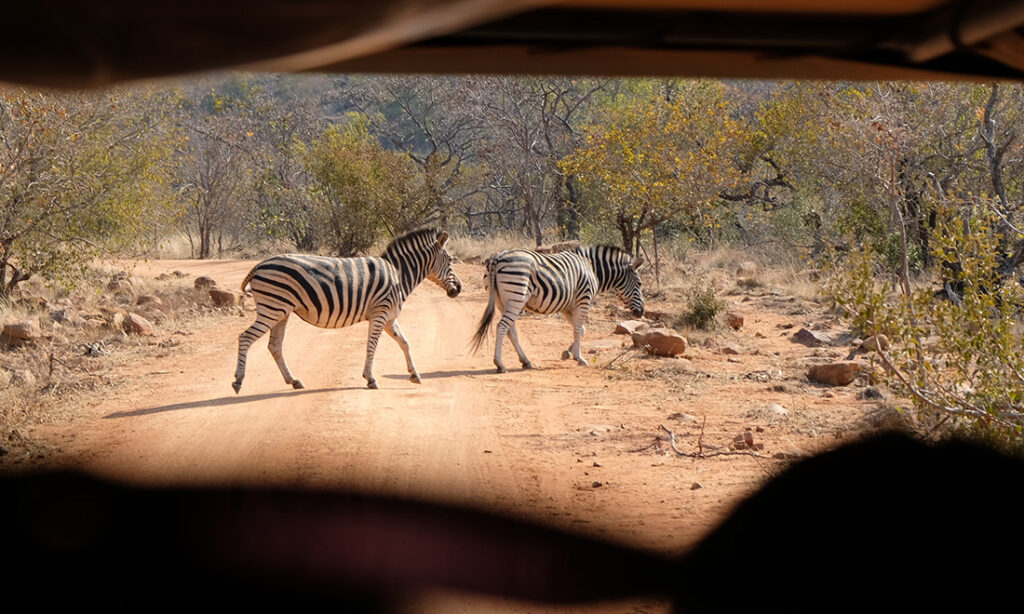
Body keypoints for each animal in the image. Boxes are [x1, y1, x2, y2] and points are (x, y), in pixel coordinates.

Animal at [234, 229, 462, 392]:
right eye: (451, 260)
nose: (458, 289)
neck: (398, 275)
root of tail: (260, 264)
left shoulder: (389, 318)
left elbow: (405, 343)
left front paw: (414, 374)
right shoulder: (380, 313)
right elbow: (372, 346)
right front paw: (370, 379)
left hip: (281, 311)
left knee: (275, 346)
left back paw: (294, 380)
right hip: (272, 308)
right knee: (245, 337)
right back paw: (238, 381)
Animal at [468, 245, 643, 372]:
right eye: (640, 284)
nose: (640, 312)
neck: (593, 269)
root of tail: (496, 258)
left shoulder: (567, 307)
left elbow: (581, 329)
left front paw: (567, 353)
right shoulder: (583, 300)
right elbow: (578, 330)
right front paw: (579, 358)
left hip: (501, 301)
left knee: (511, 331)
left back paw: (525, 361)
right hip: (516, 296)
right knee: (502, 327)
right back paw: (500, 364)